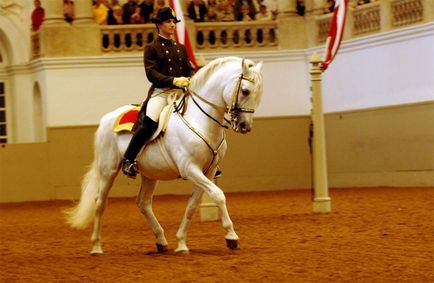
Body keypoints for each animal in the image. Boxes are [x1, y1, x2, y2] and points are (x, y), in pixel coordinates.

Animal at [63, 57, 262, 255]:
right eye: (245, 91)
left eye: (258, 94)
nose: (245, 126)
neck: (200, 120)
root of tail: (106, 118)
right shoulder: (190, 169)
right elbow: (219, 195)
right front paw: (231, 236)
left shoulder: (208, 172)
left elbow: (192, 206)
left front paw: (181, 242)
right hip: (108, 170)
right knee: (100, 203)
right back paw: (96, 247)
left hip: (150, 174)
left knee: (143, 203)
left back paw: (161, 241)